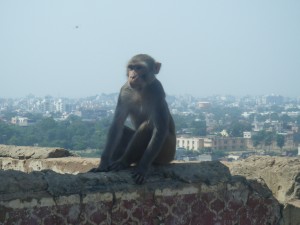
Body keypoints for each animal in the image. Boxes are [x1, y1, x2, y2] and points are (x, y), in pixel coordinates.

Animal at [90, 54, 177, 185]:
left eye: (139, 68)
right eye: (131, 68)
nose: (132, 76)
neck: (141, 89)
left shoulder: (157, 90)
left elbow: (160, 129)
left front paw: (142, 168)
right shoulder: (125, 91)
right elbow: (117, 124)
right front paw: (103, 163)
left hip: (168, 152)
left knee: (148, 126)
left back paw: (124, 162)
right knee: (123, 130)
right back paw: (117, 162)